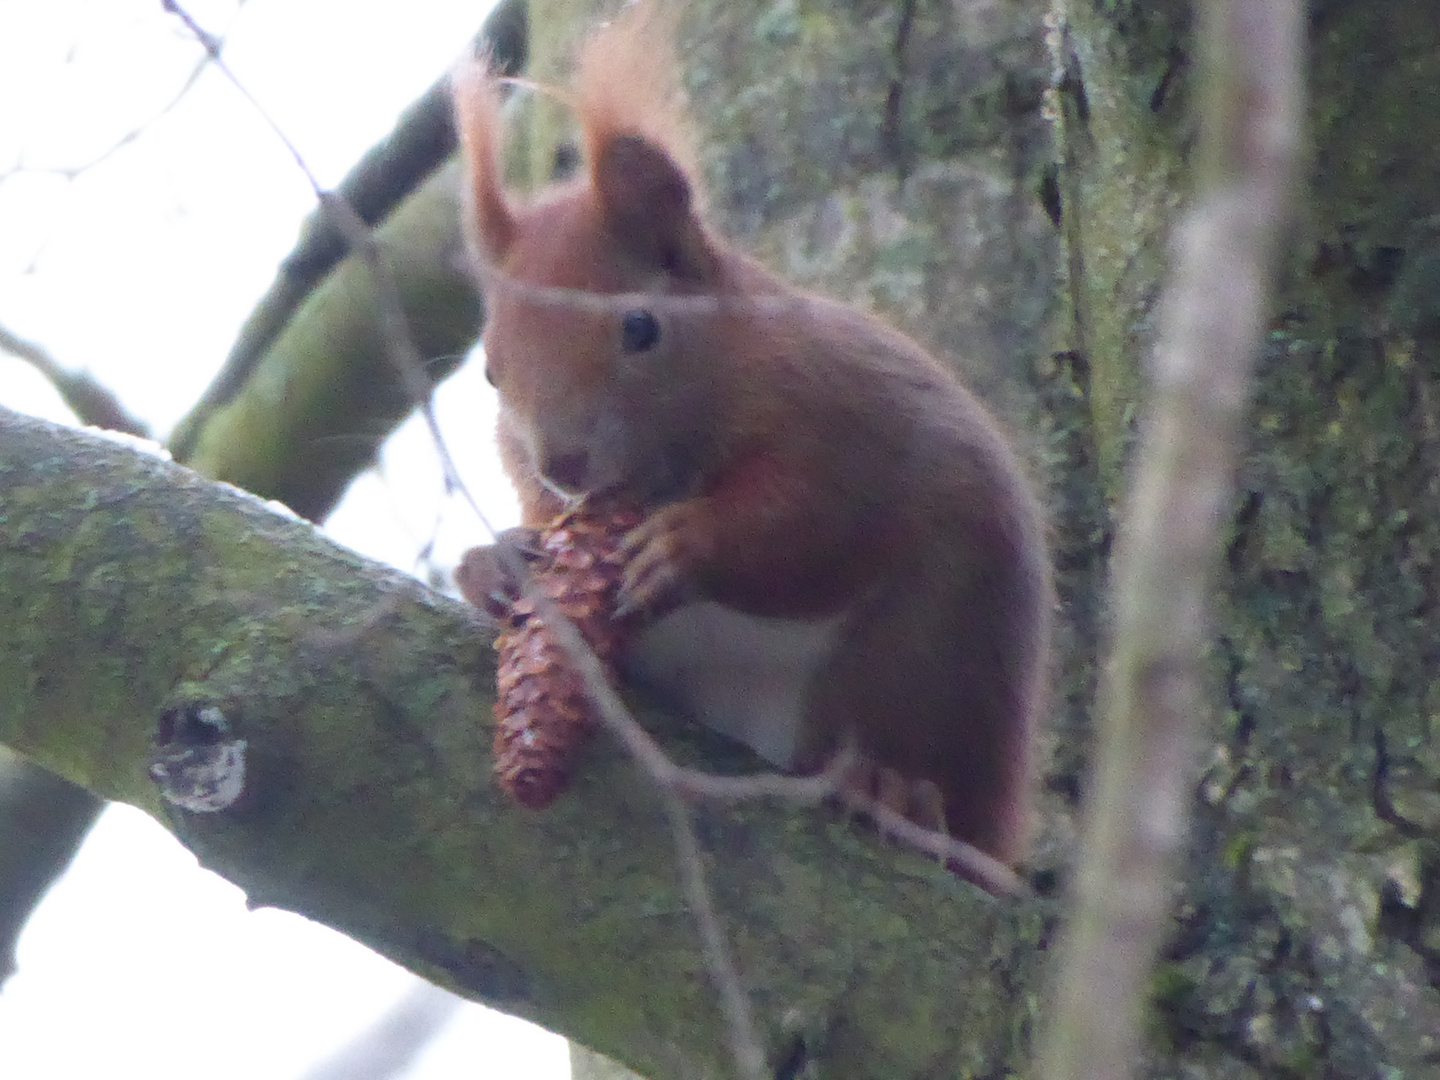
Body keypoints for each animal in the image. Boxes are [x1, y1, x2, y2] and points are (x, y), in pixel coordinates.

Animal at [455, 4, 1054, 875]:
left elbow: (818, 524)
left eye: (641, 328)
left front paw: (686, 548)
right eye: (492, 374)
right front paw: (497, 561)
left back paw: (892, 789)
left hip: (927, 656)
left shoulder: (850, 420)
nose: (561, 464)